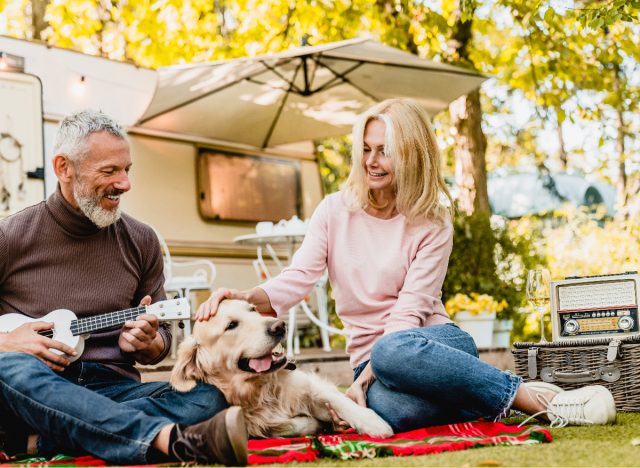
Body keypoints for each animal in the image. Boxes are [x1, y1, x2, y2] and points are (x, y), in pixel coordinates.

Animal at [170, 300, 392, 438]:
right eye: (231, 325)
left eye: (253, 309)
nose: (279, 326)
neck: (260, 389)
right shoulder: (256, 423)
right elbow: (292, 425)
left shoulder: (309, 385)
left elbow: (340, 401)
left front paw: (373, 422)